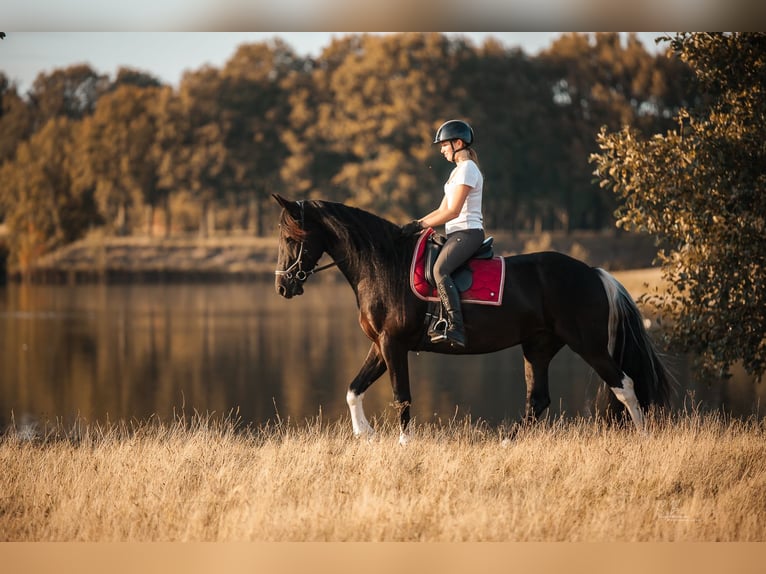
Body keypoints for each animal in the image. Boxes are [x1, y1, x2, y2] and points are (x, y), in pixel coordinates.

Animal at [274, 196, 672, 444]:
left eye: (291, 238)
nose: (282, 286)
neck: (383, 265)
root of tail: (593, 272)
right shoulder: (381, 345)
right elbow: (353, 389)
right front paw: (365, 435)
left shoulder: (393, 344)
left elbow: (402, 397)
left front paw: (403, 444)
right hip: (539, 347)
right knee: (538, 400)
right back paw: (507, 444)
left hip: (587, 344)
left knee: (625, 385)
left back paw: (643, 439)